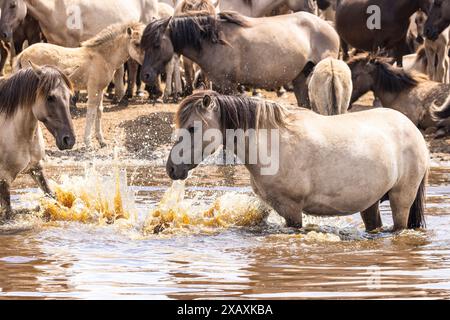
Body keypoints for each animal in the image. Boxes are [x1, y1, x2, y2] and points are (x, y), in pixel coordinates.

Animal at [0, 63, 74, 221]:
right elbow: (8, 213)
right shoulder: (4, 179)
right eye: (50, 97)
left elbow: (52, 195)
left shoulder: (36, 168)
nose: (69, 140)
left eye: (70, 97)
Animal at [141, 11, 338, 106]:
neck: (213, 41)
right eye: (143, 45)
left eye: (156, 44)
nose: (146, 76)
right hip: (300, 79)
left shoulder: (228, 86)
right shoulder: (220, 86)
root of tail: (327, 25)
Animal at [165, 91, 428, 231]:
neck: (271, 144)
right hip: (370, 203)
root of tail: (412, 129)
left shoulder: (292, 209)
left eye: (192, 128)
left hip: (401, 199)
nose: (172, 168)